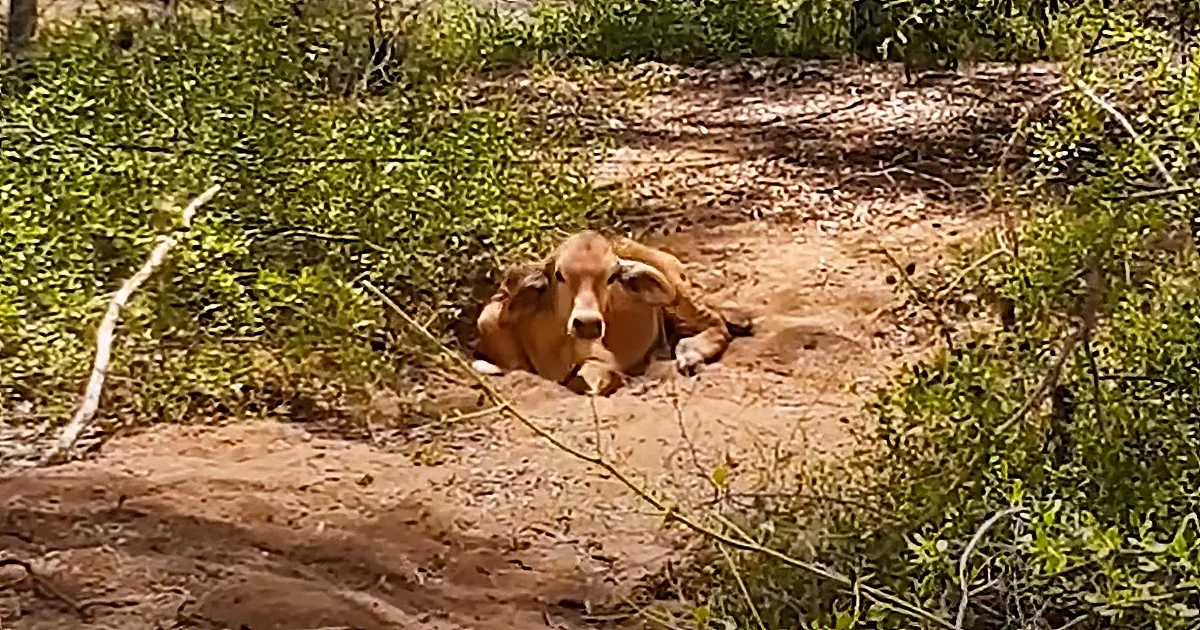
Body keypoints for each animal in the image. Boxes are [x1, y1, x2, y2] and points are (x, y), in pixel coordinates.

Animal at [472, 231, 751, 394]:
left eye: (612, 276)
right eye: (559, 275)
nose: (587, 323)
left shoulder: (604, 360)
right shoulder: (489, 321)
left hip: (678, 296)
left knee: (717, 325)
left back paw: (689, 353)